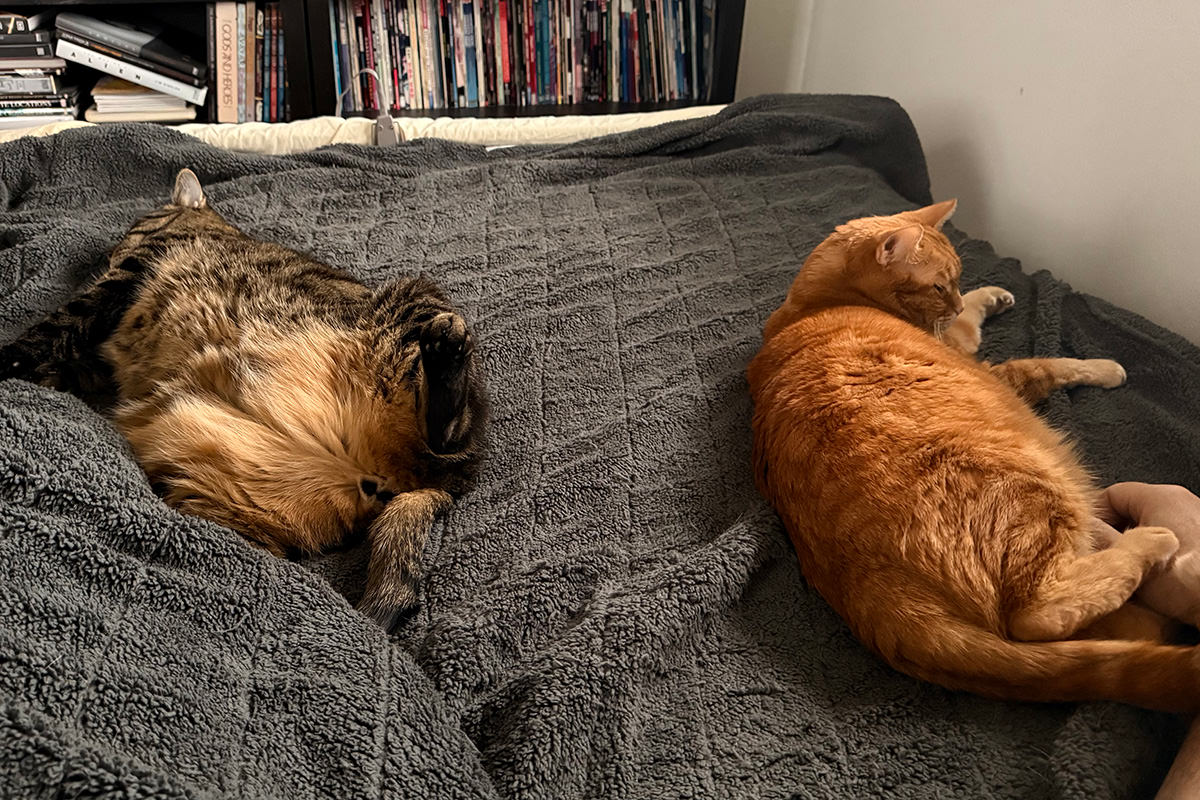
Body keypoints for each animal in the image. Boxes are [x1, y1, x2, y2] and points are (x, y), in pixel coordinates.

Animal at [3, 170, 487, 633]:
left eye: (135, 227)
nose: (107, 256)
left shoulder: (122, 282)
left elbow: (49, 330)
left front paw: (9, 359)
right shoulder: (99, 357)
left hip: (416, 303)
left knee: (449, 430)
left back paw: (445, 354)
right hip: (215, 500)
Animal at [748, 200, 1200, 714]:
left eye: (957, 280)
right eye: (939, 286)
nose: (958, 302)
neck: (817, 301)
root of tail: (878, 594)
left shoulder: (957, 338)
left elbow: (974, 324)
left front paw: (989, 295)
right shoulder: (987, 364)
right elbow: (1050, 364)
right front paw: (1104, 368)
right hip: (1032, 486)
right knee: (1038, 615)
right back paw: (1150, 544)